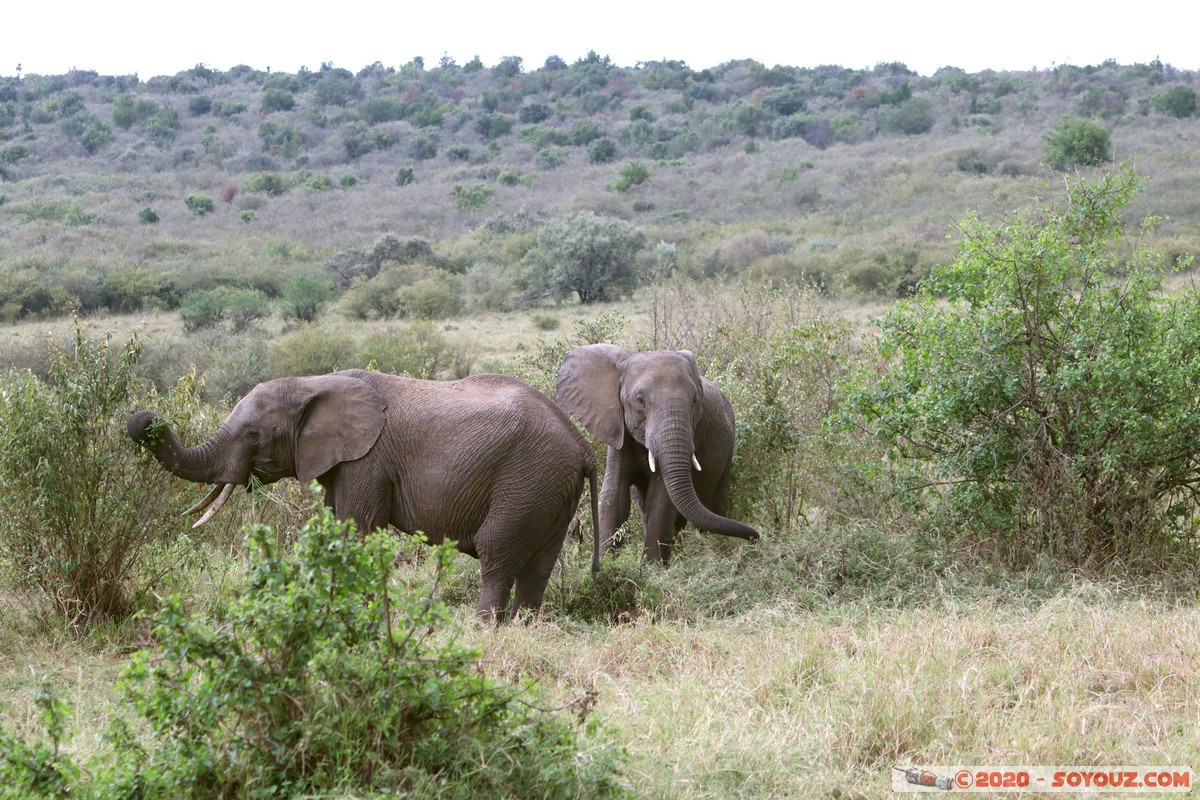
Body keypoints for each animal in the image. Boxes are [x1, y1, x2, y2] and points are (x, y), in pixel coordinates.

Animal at [129, 367, 597, 623]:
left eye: (252, 435)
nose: (143, 420)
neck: (313, 383)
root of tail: (583, 445)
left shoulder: (367, 461)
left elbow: (356, 531)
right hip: (549, 488)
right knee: (538, 567)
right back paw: (521, 628)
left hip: (527, 478)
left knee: (496, 552)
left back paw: (481, 630)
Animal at [554, 345, 758, 568]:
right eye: (639, 400)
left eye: (695, 401)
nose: (756, 537)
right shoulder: (618, 431)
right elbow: (615, 497)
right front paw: (605, 567)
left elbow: (661, 500)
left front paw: (651, 569)